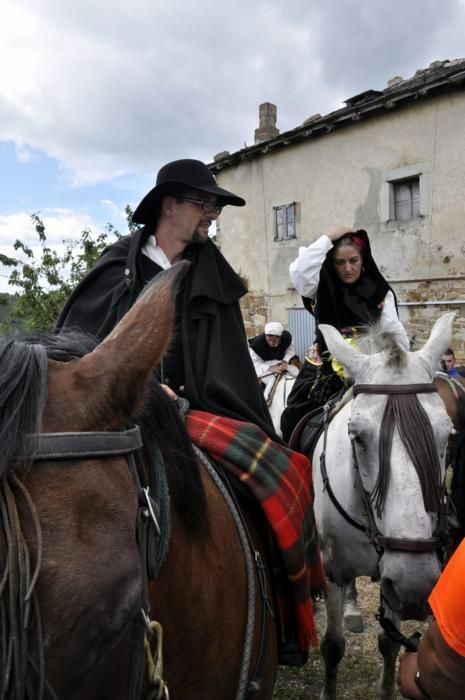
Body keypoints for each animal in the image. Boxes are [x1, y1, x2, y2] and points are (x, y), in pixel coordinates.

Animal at [312, 314, 454, 696]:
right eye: (356, 436)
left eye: (448, 435)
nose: (415, 586)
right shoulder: (332, 570)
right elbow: (332, 646)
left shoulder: (392, 580)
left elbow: (390, 644)